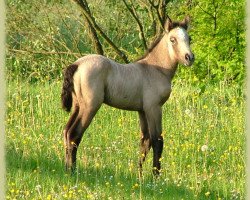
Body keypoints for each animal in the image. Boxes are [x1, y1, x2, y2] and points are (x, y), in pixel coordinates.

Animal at [61, 16, 194, 175]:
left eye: (189, 39)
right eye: (173, 39)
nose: (189, 58)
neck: (156, 69)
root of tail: (77, 65)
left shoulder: (142, 111)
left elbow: (145, 142)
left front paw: (140, 175)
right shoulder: (154, 108)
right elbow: (157, 141)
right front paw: (155, 176)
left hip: (77, 106)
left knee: (66, 132)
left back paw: (67, 169)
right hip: (90, 106)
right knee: (74, 134)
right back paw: (73, 171)